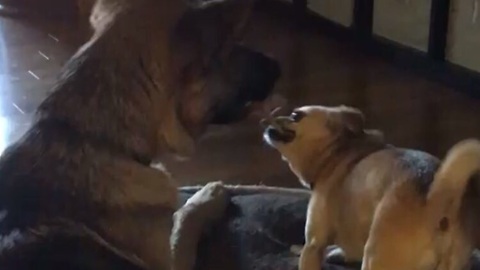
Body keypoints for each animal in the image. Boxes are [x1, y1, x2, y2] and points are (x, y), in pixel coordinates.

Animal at [262, 105, 480, 270]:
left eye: (295, 116)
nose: (266, 119)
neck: (336, 152)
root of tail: (439, 196)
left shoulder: (314, 244)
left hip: (376, 257)